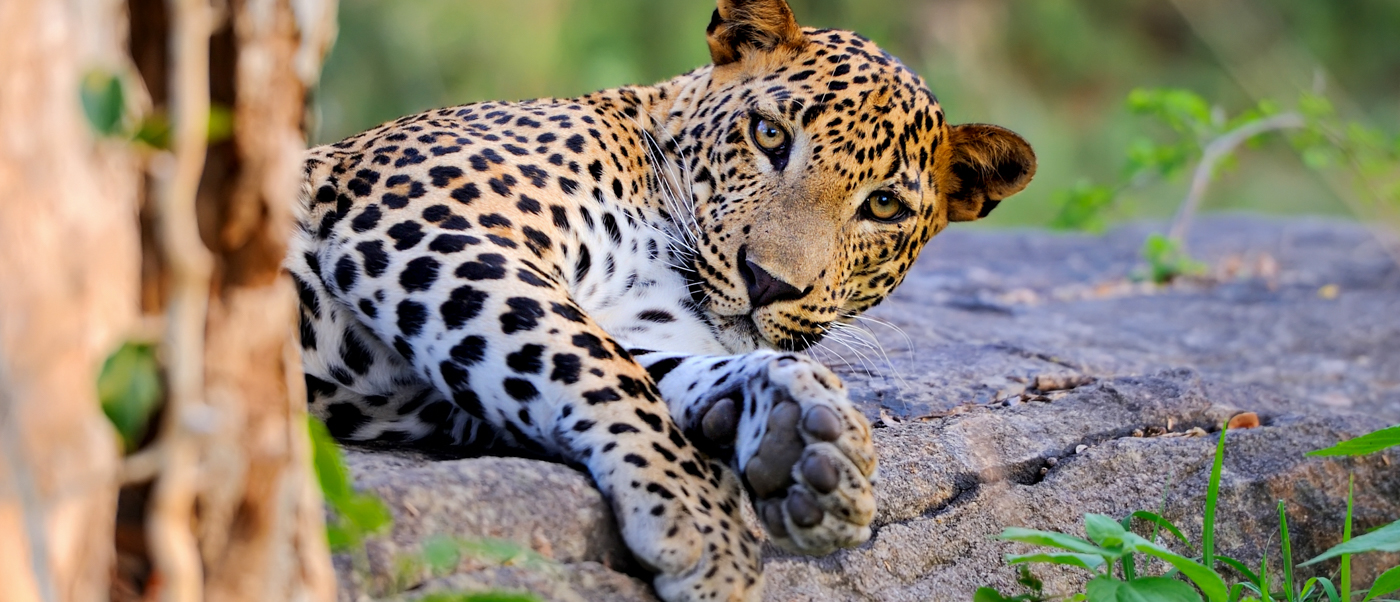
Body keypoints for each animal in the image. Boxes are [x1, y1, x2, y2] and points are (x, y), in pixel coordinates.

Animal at [289, 1, 1035, 600]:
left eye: (883, 206)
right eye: (768, 135)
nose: (768, 281)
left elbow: (638, 365)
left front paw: (799, 433)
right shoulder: (430, 219)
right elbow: (594, 362)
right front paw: (702, 520)